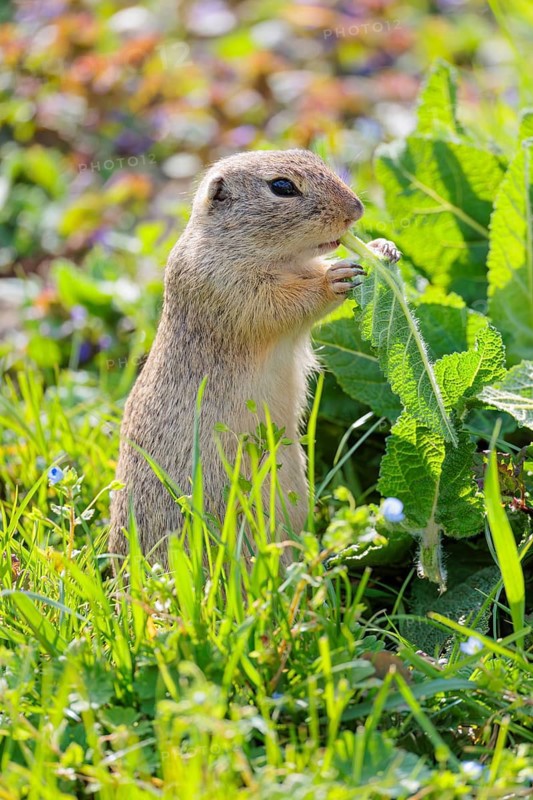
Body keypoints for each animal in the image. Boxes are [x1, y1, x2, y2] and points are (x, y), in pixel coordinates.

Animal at [108, 149, 400, 570]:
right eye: (282, 186)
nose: (356, 210)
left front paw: (383, 248)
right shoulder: (230, 287)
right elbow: (284, 302)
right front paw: (337, 276)